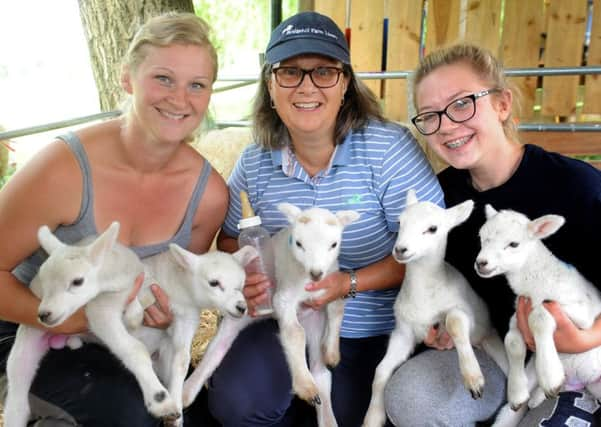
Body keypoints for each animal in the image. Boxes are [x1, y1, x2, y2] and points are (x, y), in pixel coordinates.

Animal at [2, 222, 255, 427]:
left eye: (241, 285)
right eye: (214, 283)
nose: (241, 308)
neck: (176, 285)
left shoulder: (186, 319)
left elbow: (181, 361)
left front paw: (176, 412)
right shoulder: (105, 307)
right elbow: (133, 344)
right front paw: (161, 402)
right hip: (30, 336)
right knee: (17, 391)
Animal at [183, 204, 358, 427]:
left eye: (334, 244)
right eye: (299, 243)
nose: (316, 273)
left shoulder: (332, 284)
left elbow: (337, 308)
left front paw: (332, 353)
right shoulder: (283, 298)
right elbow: (294, 334)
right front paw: (304, 385)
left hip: (314, 321)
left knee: (321, 373)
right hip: (241, 314)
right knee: (215, 350)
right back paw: (185, 393)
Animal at [360, 191, 506, 427]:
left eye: (433, 228)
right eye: (399, 222)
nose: (400, 250)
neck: (424, 296)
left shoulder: (464, 311)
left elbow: (454, 321)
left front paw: (473, 379)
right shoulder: (403, 333)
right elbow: (380, 371)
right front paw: (372, 418)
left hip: (490, 336)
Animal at [474, 206, 600, 412]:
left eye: (514, 244)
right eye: (482, 237)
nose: (481, 263)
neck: (535, 283)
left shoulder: (583, 313)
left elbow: (539, 316)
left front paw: (550, 377)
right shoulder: (517, 315)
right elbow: (512, 342)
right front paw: (517, 393)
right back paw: (536, 398)